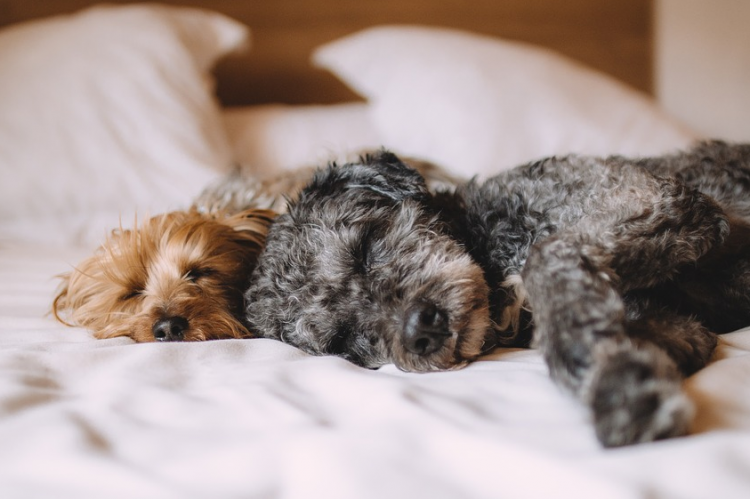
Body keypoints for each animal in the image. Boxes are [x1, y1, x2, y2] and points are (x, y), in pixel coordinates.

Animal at [245, 142, 750, 450]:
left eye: (365, 248)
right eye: (344, 341)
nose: (420, 330)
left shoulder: (658, 198)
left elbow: (546, 256)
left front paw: (617, 388)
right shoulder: (682, 326)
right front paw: (613, 363)